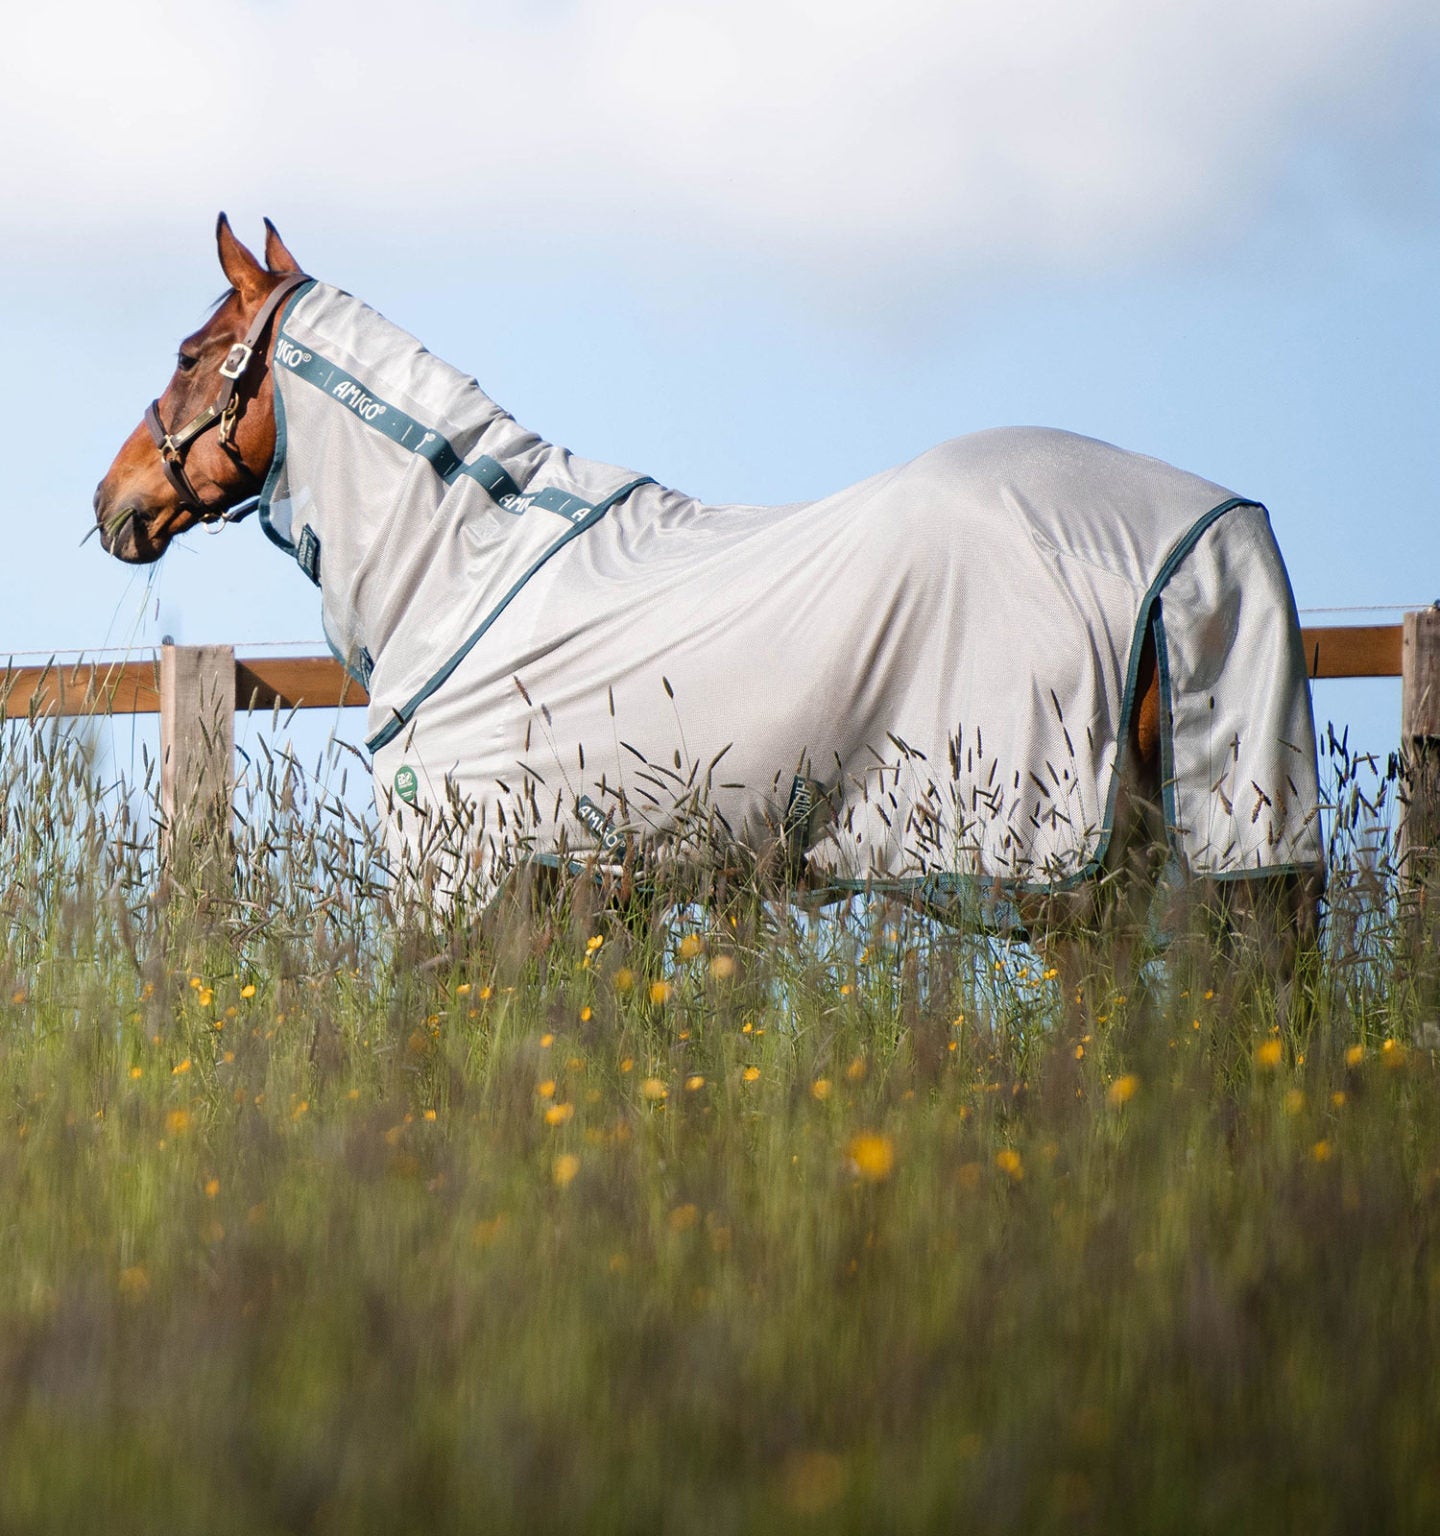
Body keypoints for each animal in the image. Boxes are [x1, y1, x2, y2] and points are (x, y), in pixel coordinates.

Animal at [95, 222, 1320, 1001]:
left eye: (194, 356)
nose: (114, 501)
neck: (460, 574)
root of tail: (1201, 528)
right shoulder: (591, 899)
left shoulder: (465, 890)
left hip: (1063, 881)